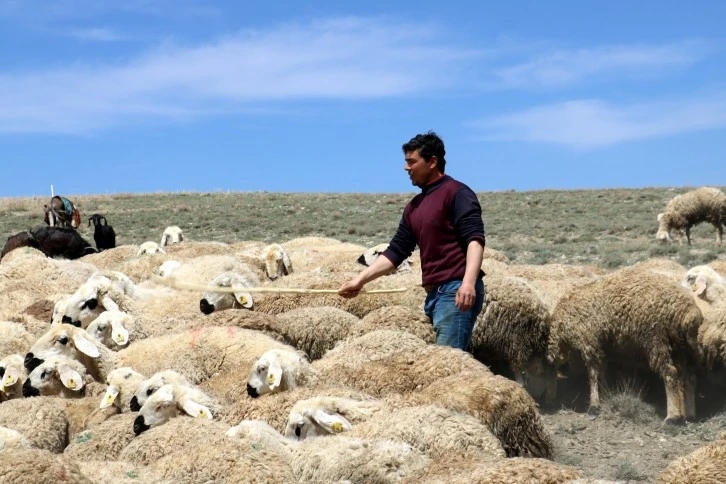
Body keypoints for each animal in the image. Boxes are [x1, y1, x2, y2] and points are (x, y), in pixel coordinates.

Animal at [548, 266, 708, 422]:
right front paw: (606, 393)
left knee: (670, 373)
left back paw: (672, 417)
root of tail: (689, 313)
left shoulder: (588, 341)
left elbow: (593, 374)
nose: (550, 400)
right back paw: (690, 414)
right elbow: (602, 371)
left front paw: (594, 406)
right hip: (681, 346)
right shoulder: (602, 346)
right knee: (689, 377)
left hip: (656, 340)